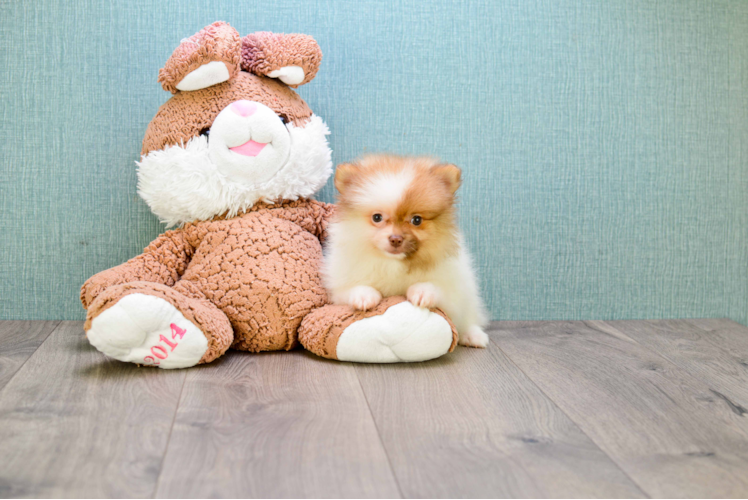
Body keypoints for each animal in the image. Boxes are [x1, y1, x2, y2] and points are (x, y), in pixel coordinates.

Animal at [322, 153, 490, 348]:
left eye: (416, 220)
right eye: (377, 217)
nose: (396, 239)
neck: (392, 264)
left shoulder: (452, 291)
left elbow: (435, 288)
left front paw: (422, 292)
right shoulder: (339, 288)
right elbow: (353, 288)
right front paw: (364, 296)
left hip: (468, 294)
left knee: (469, 318)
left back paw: (473, 335)